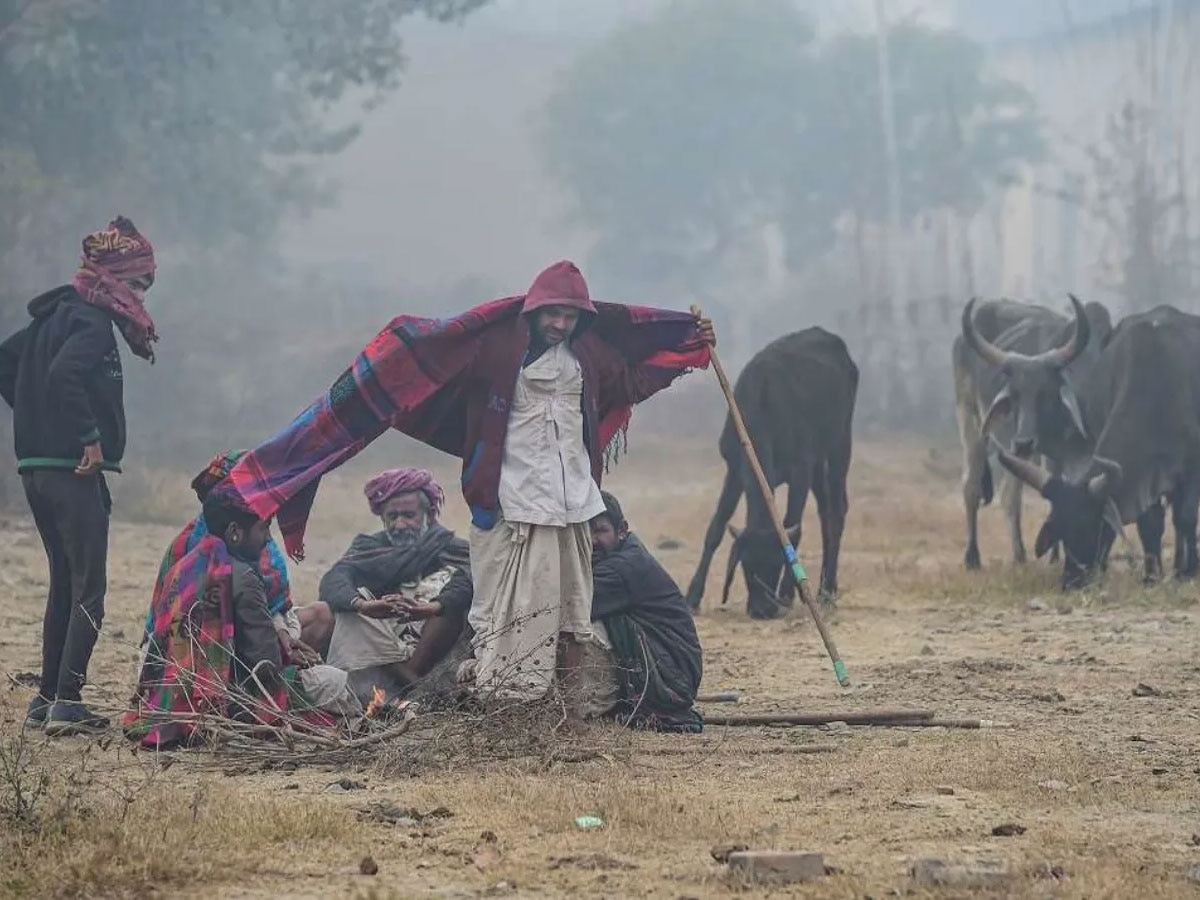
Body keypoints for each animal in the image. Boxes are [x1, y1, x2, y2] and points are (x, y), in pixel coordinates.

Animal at [686, 328, 854, 619]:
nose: (762, 609)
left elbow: (793, 528)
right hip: (818, 462)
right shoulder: (735, 471)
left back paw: (827, 590)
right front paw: (693, 595)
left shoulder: (800, 472)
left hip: (840, 444)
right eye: (746, 566)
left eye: (777, 564)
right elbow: (716, 528)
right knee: (825, 512)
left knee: (837, 511)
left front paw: (787, 594)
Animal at [950, 297, 1108, 571]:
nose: (1024, 442)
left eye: (1046, 394)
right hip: (971, 422)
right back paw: (977, 557)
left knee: (1008, 494)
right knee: (975, 486)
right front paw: (1058, 558)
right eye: (1013, 395)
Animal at [993, 309, 1200, 592]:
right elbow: (1150, 523)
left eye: (1091, 525)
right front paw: (1151, 575)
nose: (1072, 579)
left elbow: (1186, 518)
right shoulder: (1147, 477)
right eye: (1060, 528)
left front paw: (1188, 572)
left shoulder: (1192, 469)